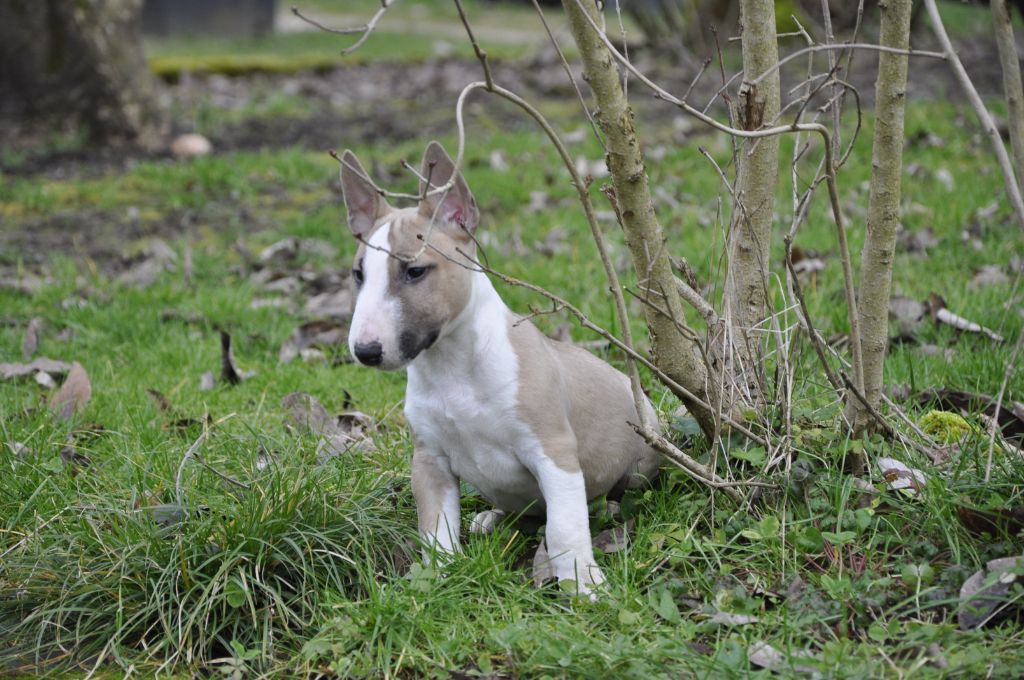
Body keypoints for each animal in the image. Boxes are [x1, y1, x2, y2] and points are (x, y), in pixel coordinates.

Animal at [339, 143, 659, 593]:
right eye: (358, 274)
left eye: (415, 270)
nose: (365, 351)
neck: (452, 366)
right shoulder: (430, 461)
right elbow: (436, 530)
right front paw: (439, 579)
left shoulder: (552, 451)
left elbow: (564, 526)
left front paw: (583, 584)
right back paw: (490, 518)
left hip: (644, 450)